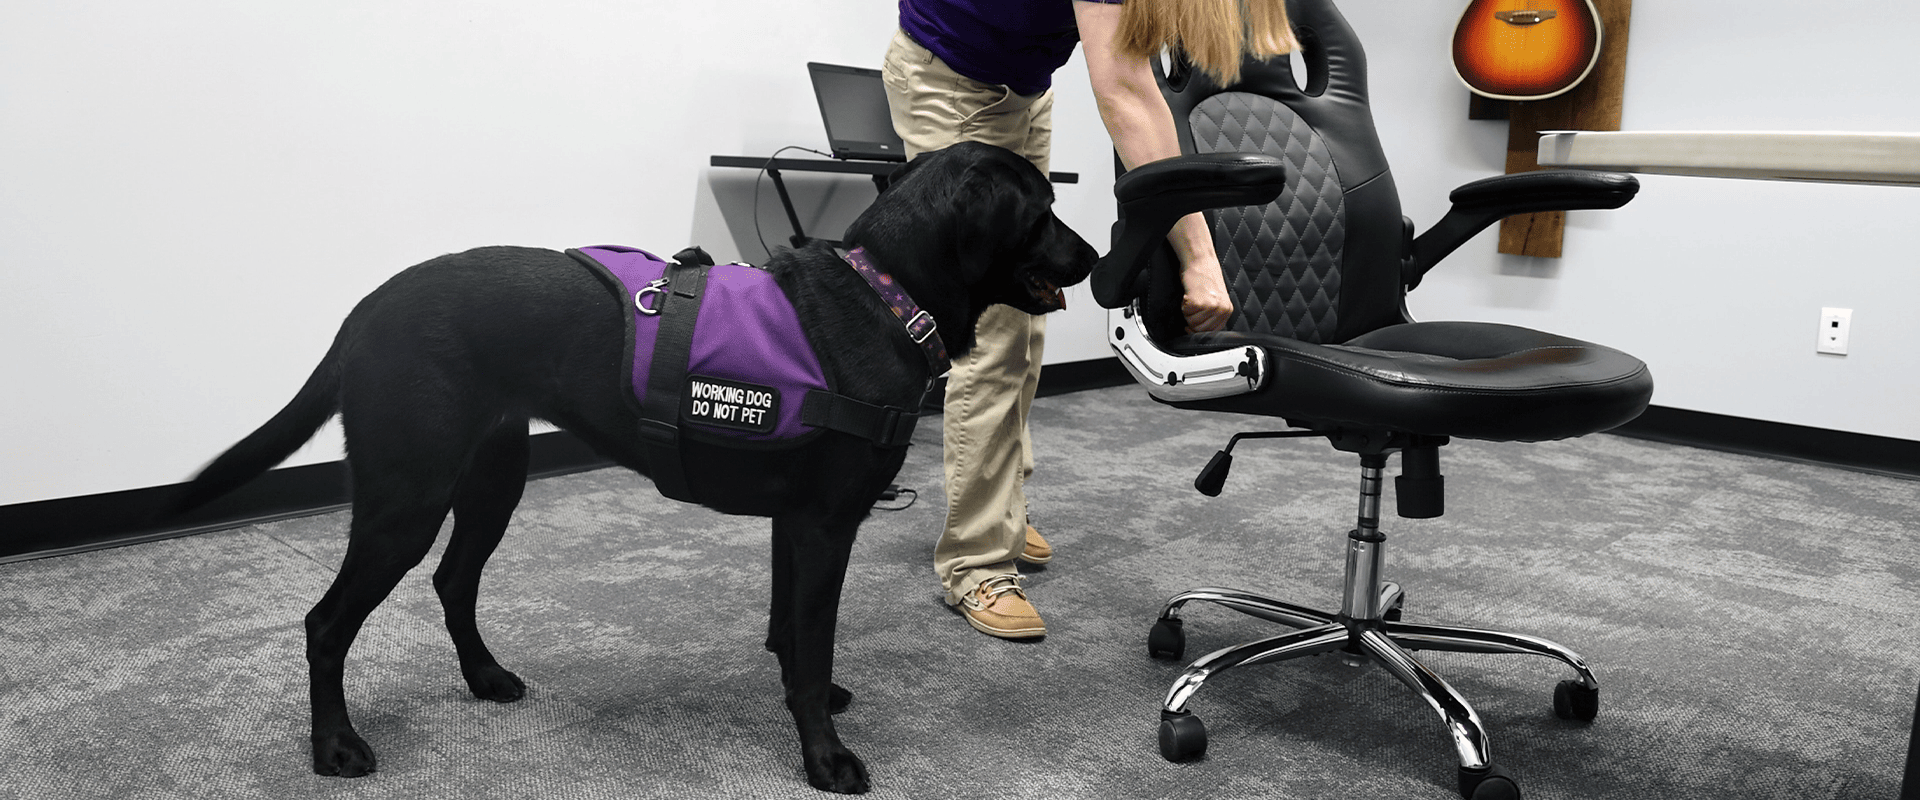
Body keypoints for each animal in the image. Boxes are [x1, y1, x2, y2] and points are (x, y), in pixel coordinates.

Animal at [174, 140, 1105, 790]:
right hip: (409, 495)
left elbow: (789, 633)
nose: (1097, 258)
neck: (885, 296)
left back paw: (485, 676)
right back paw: (334, 744)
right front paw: (825, 758)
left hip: (492, 480)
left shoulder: (793, 523)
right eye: (1044, 207)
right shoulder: (825, 523)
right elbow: (812, 646)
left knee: (452, 582)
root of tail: (365, 309)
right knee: (326, 622)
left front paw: (806, 698)